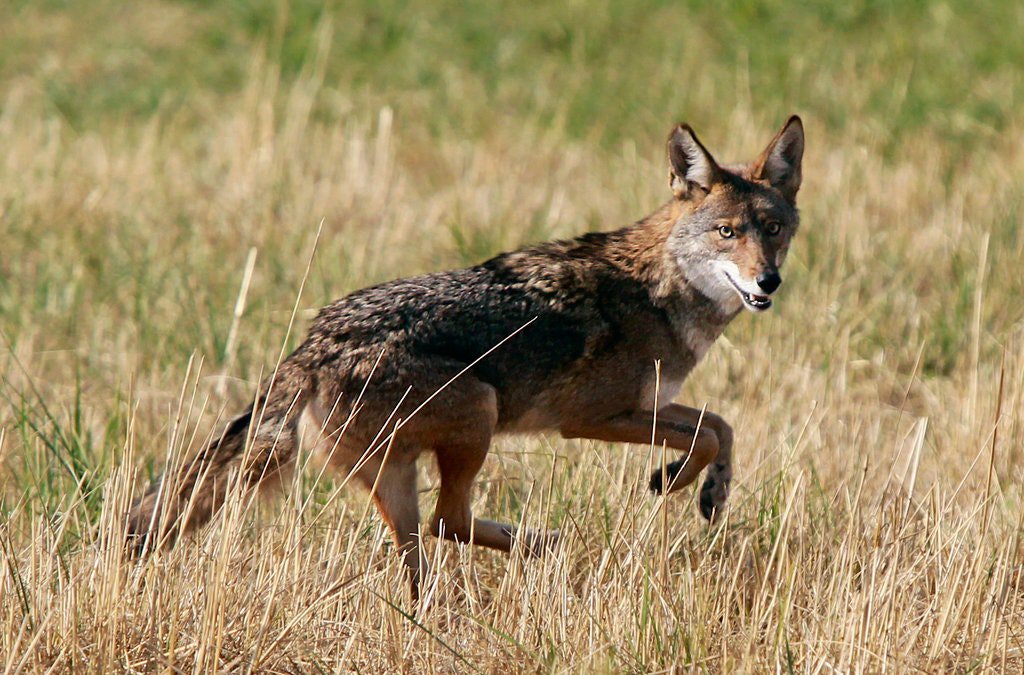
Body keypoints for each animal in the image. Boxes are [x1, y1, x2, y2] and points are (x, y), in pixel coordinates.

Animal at [126, 116, 805, 595]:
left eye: (773, 230)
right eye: (727, 233)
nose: (768, 282)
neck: (659, 290)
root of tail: (310, 350)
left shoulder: (648, 405)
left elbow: (722, 426)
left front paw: (709, 491)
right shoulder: (593, 419)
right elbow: (708, 435)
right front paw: (676, 481)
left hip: (403, 474)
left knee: (423, 550)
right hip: (480, 411)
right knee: (446, 524)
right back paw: (542, 544)